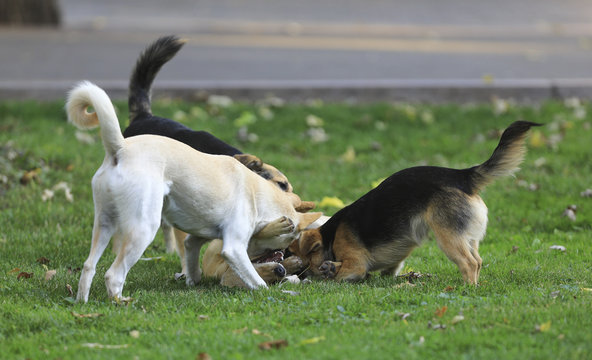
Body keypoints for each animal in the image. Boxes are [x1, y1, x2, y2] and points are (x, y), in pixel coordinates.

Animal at [67, 81, 322, 300]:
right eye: (287, 239)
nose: (282, 257)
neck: (257, 192)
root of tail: (120, 148)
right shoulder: (233, 248)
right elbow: (257, 282)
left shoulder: (195, 238)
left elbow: (192, 260)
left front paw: (191, 280)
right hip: (143, 228)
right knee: (114, 274)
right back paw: (121, 302)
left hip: (104, 222)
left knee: (89, 266)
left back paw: (82, 301)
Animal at [288, 121, 540, 284]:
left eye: (292, 254)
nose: (297, 274)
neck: (330, 236)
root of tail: (463, 176)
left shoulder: (355, 264)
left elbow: (345, 274)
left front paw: (330, 272)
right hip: (468, 236)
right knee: (478, 260)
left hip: (448, 237)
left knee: (469, 263)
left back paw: (468, 289)